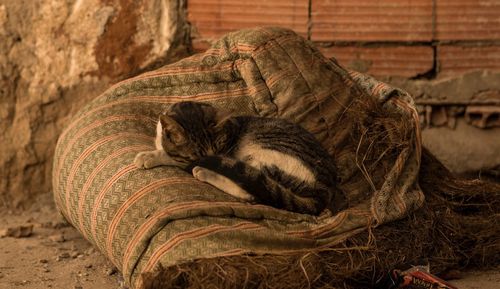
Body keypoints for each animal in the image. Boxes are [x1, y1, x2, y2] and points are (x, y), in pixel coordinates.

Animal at [133, 100, 348, 214]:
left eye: (219, 149)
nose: (209, 160)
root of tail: (324, 189)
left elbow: (171, 156)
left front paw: (149, 156)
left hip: (264, 154)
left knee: (253, 192)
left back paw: (203, 172)